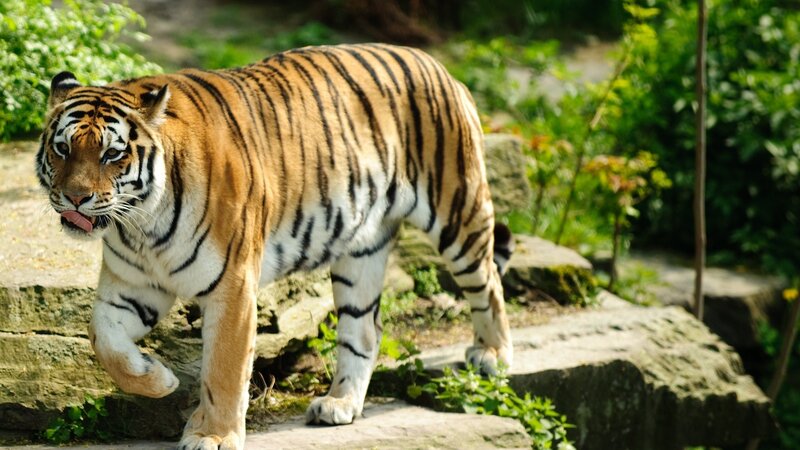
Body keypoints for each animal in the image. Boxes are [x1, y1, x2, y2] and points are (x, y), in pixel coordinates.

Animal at [36, 43, 514, 449]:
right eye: (62, 149)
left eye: (112, 155)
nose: (75, 198)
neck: (140, 225)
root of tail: (439, 66)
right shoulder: (132, 286)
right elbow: (104, 340)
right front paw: (159, 379)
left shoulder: (232, 288)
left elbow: (224, 370)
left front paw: (213, 435)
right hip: (360, 250)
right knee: (365, 330)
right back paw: (339, 404)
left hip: (458, 212)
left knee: (489, 284)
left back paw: (492, 356)